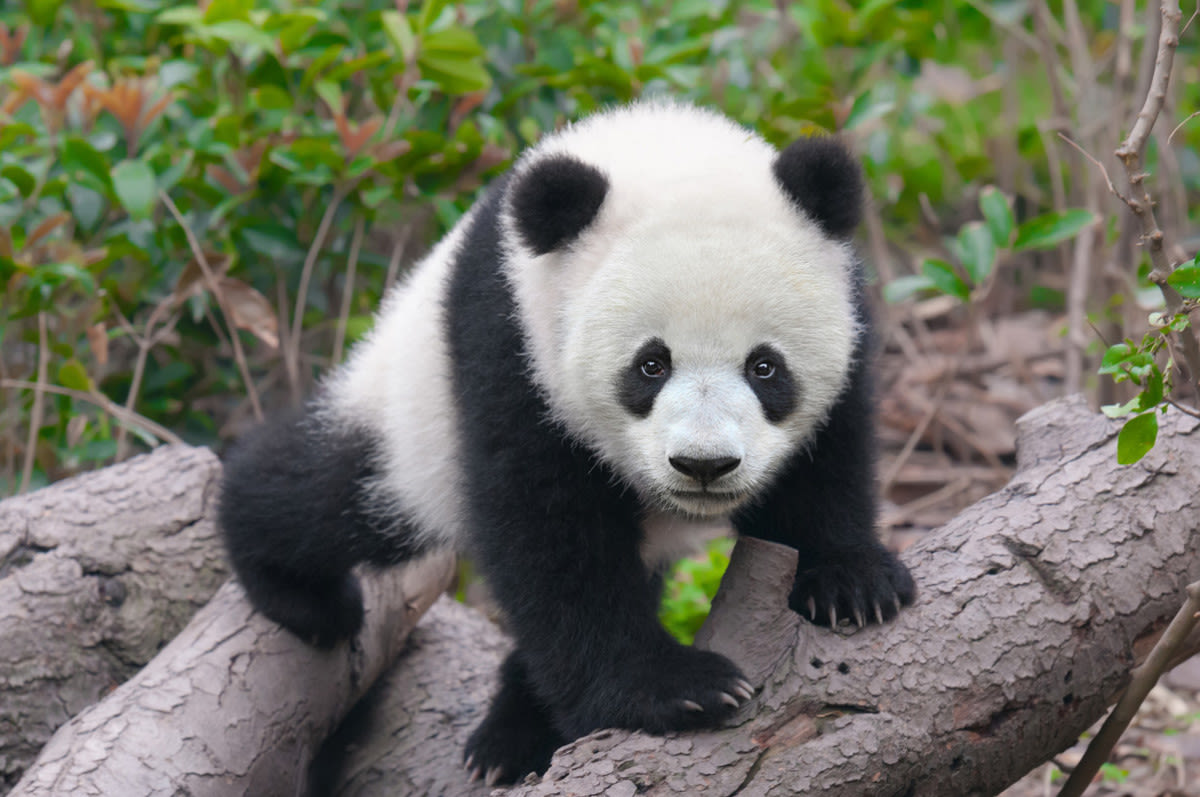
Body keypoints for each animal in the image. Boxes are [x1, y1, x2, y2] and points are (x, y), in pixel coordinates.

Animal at [220, 99, 912, 782]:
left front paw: (851, 584)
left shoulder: (847, 325)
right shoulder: (512, 340)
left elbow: (825, 466)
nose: (703, 465)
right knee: (336, 495)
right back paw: (298, 590)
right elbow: (548, 532)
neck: (659, 146)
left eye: (765, 367)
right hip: (411, 419)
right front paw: (674, 690)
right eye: (650, 365)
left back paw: (514, 728)